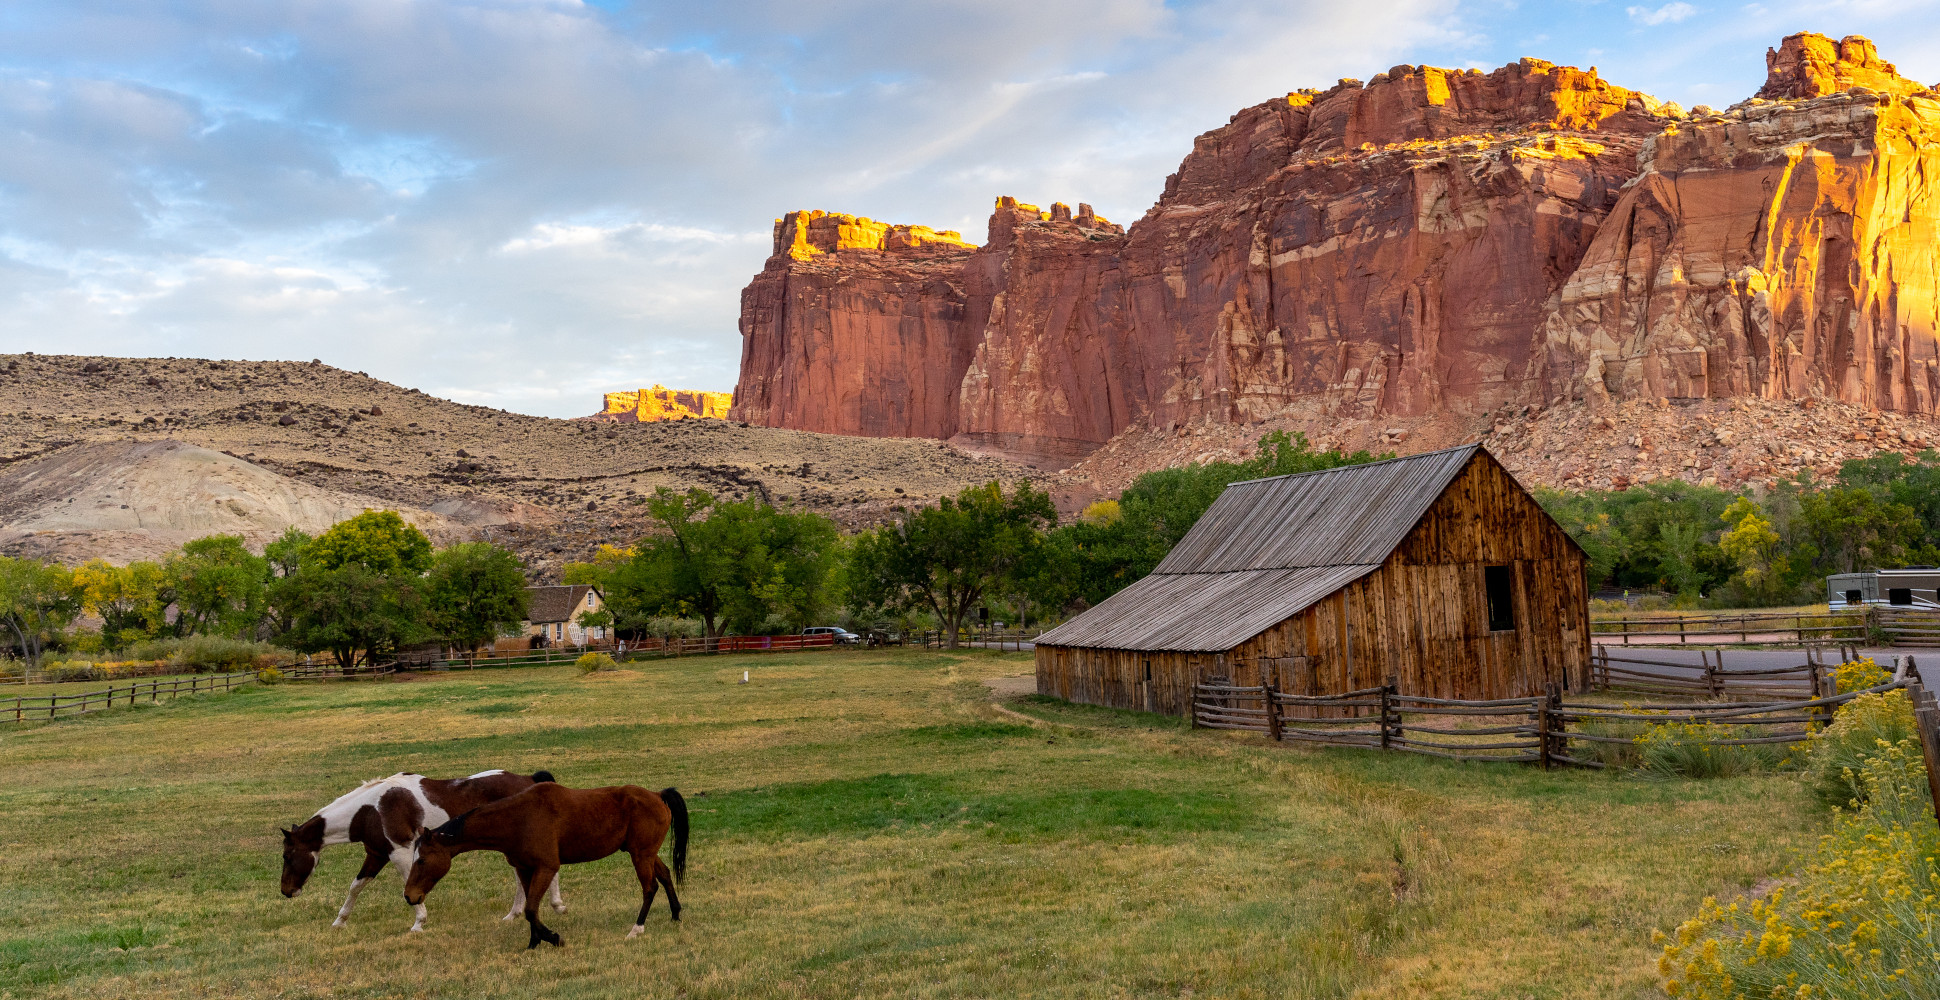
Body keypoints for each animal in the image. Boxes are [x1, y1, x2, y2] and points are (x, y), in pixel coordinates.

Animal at [281, 772, 566, 935]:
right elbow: (356, 886)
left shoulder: (400, 853)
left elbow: (409, 887)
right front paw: (340, 921)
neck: (370, 810)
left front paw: (419, 923)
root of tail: (529, 780)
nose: (285, 891)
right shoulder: (377, 854)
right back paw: (514, 914)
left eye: (287, 856)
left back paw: (556, 905)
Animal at [401, 788, 690, 951]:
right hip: (645, 853)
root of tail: (657, 796)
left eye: (422, 860)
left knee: (649, 887)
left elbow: (530, 909)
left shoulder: (546, 868)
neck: (517, 819)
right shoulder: (525, 869)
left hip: (641, 855)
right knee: (665, 876)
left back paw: (637, 929)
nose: (409, 895)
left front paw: (552, 938)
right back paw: (676, 914)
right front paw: (534, 942)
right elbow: (532, 909)